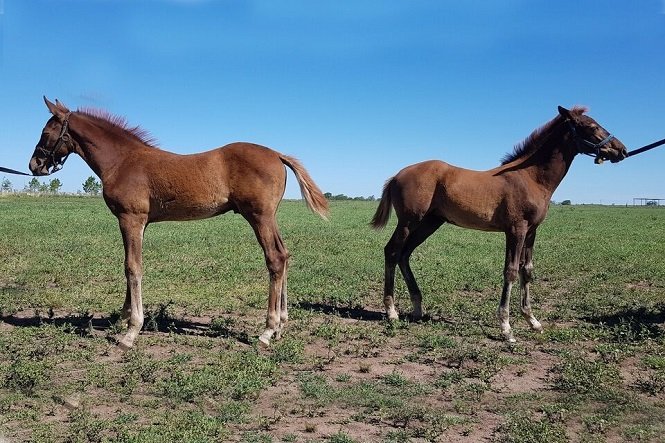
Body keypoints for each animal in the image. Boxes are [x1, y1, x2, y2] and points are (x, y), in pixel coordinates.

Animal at [29, 97, 329, 349]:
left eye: (45, 133)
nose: (34, 165)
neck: (122, 161)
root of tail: (277, 154)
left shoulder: (130, 218)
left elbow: (132, 267)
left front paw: (131, 331)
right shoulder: (139, 224)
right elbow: (129, 266)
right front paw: (123, 316)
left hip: (259, 216)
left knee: (275, 258)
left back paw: (267, 330)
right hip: (268, 218)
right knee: (285, 254)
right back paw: (281, 325)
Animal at [371, 106, 628, 342]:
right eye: (591, 126)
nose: (621, 149)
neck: (531, 177)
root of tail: (396, 175)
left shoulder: (531, 232)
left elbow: (527, 271)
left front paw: (532, 321)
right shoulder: (516, 230)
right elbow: (511, 271)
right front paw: (506, 327)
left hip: (430, 223)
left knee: (405, 254)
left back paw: (417, 308)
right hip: (409, 221)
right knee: (392, 251)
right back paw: (391, 311)